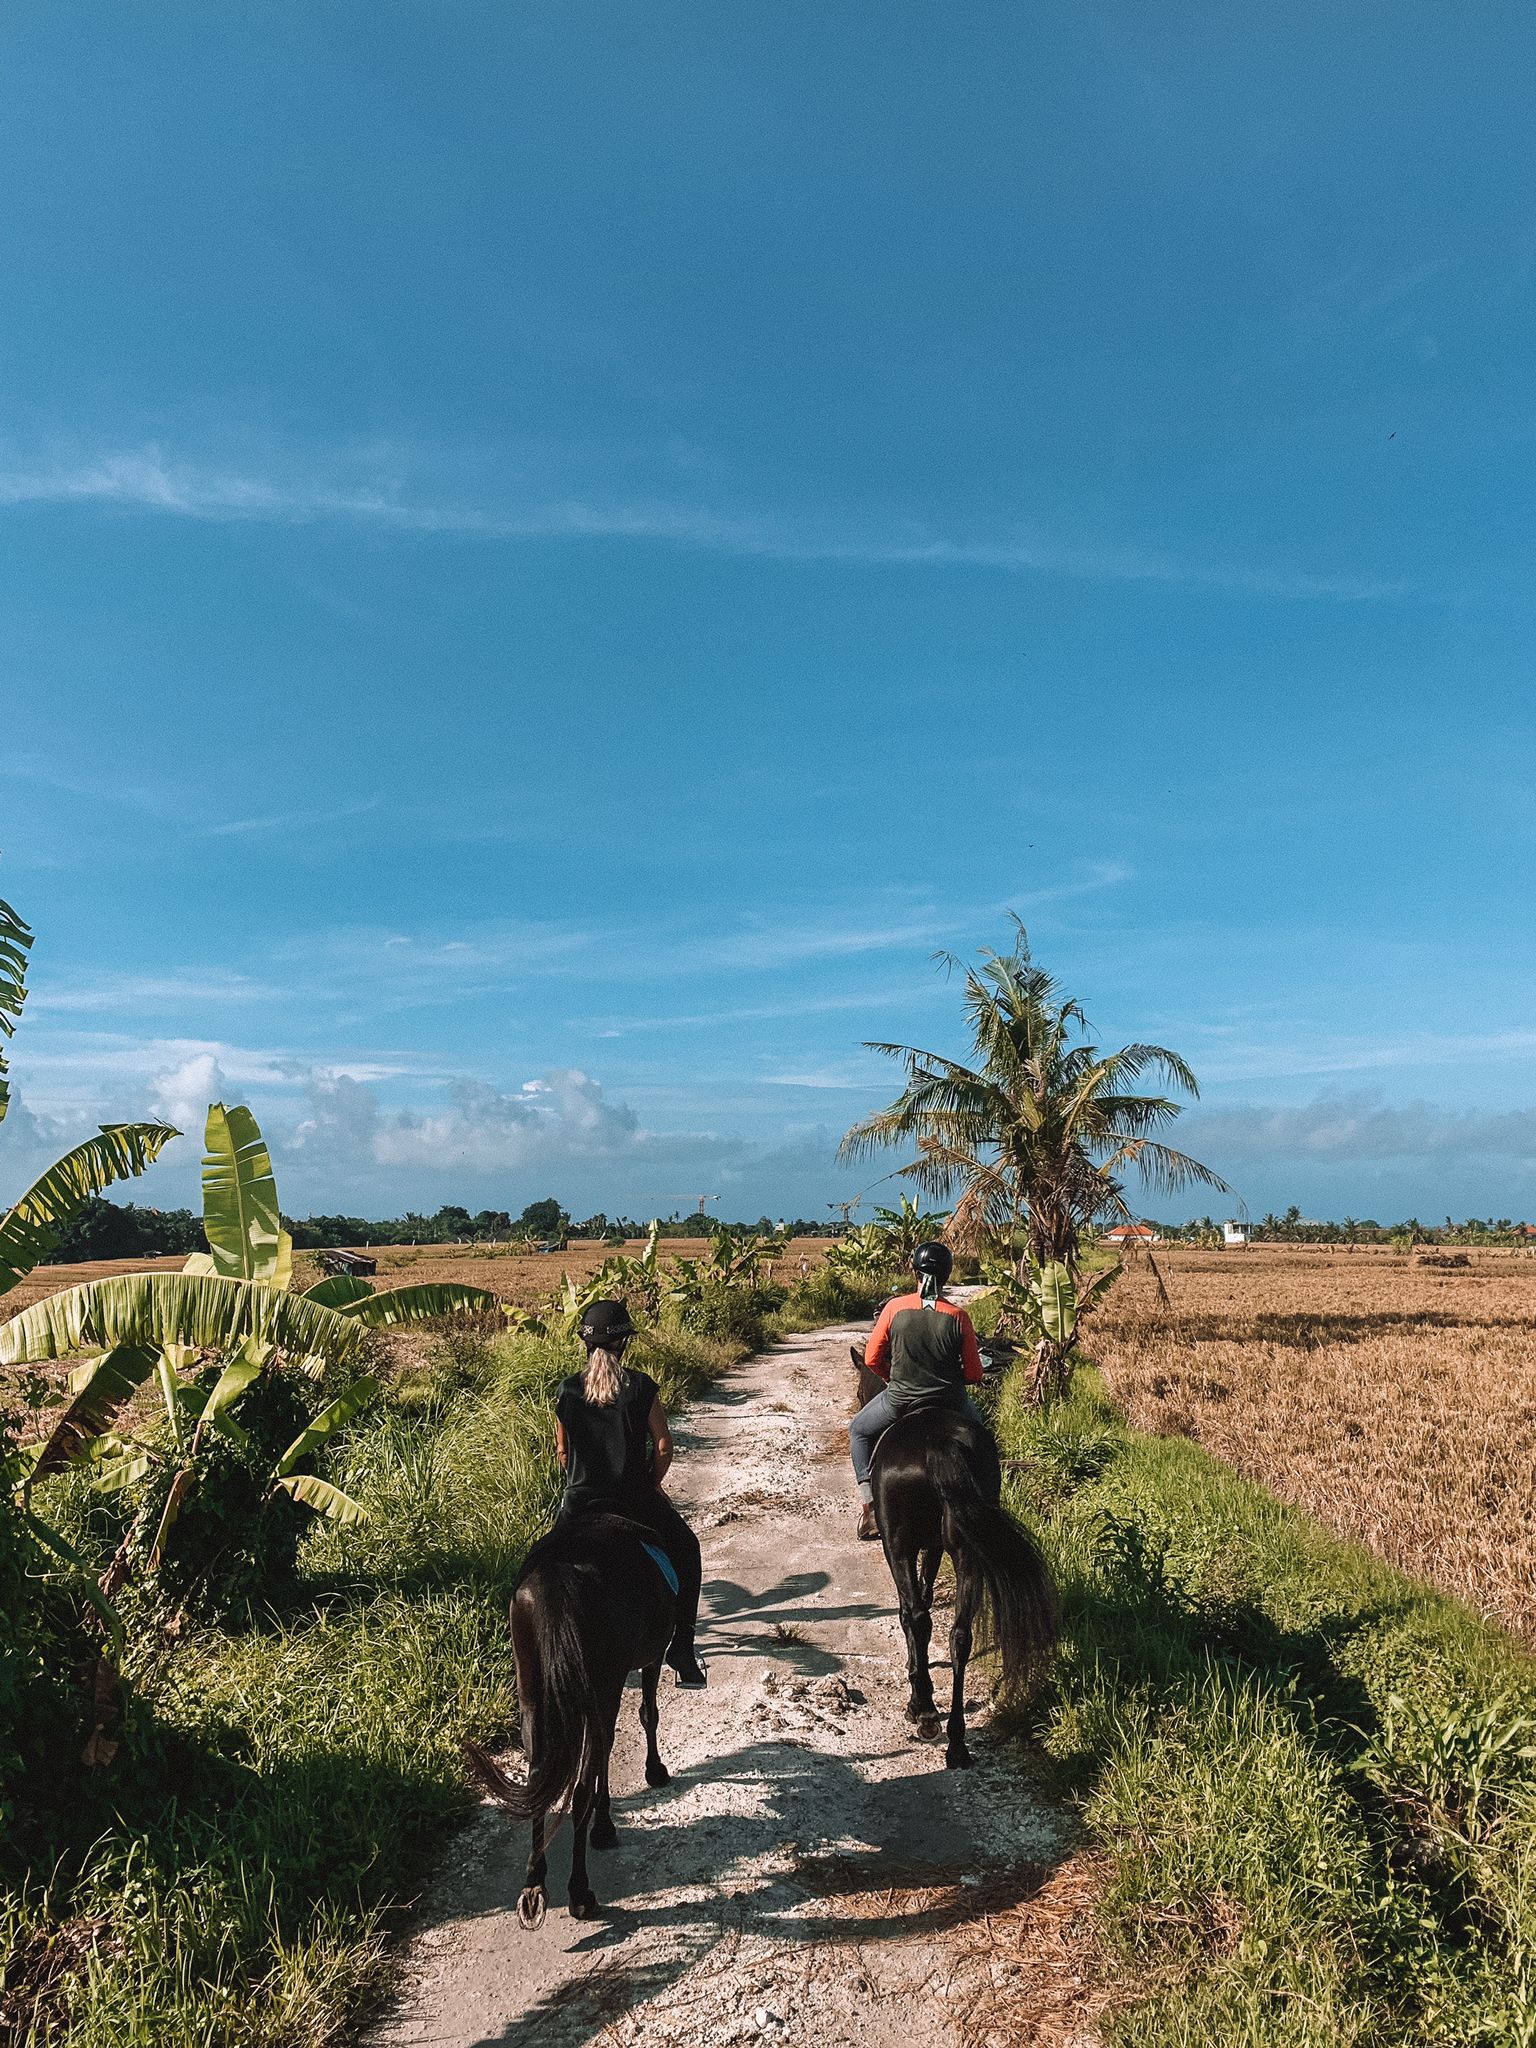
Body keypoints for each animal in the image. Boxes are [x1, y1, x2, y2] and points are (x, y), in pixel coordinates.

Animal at [462, 1515, 679, 1925]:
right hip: (600, 1686)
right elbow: (647, 1715)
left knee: (538, 1778)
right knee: (580, 1787)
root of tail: (556, 1576)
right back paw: (580, 1893)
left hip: (532, 1695)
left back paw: (533, 1885)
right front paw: (651, 1775)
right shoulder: (648, 1661)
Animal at [856, 1351, 1056, 1769]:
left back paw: (926, 1713)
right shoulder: (934, 1546)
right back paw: (957, 1742)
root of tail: (938, 1446)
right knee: (960, 1633)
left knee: (916, 1615)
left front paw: (917, 1690)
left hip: (899, 1545)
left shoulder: (901, 1548)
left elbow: (910, 1610)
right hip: (966, 1549)